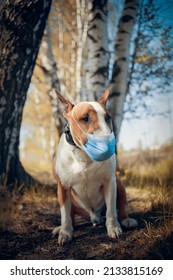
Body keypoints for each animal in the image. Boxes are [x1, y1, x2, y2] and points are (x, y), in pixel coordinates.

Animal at [52, 88, 137, 244]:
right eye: (85, 118)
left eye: (108, 117)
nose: (108, 146)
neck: (84, 155)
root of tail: (94, 216)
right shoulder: (63, 186)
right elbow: (65, 214)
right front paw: (65, 233)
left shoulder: (109, 181)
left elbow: (111, 209)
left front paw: (113, 227)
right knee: (70, 214)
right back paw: (61, 228)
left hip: (118, 183)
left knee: (120, 205)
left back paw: (126, 220)